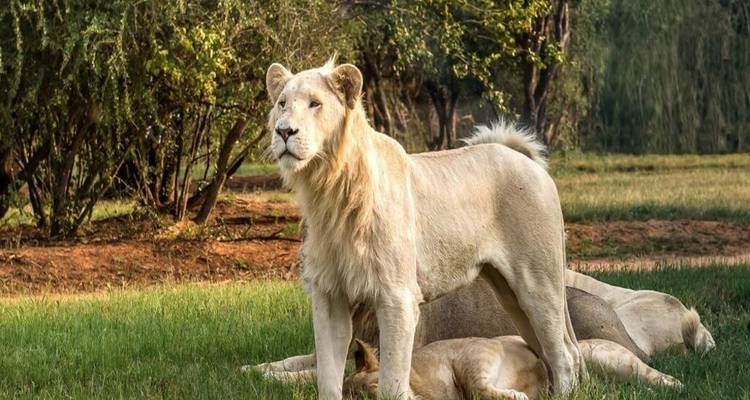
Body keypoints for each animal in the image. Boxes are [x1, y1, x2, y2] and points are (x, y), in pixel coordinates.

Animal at [265, 59, 581, 399]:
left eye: (315, 103)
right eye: (282, 103)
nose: (283, 131)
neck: (328, 189)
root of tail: (527, 161)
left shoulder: (397, 297)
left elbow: (391, 379)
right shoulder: (329, 296)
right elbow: (327, 375)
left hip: (538, 280)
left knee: (565, 351)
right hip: (509, 293)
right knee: (546, 348)